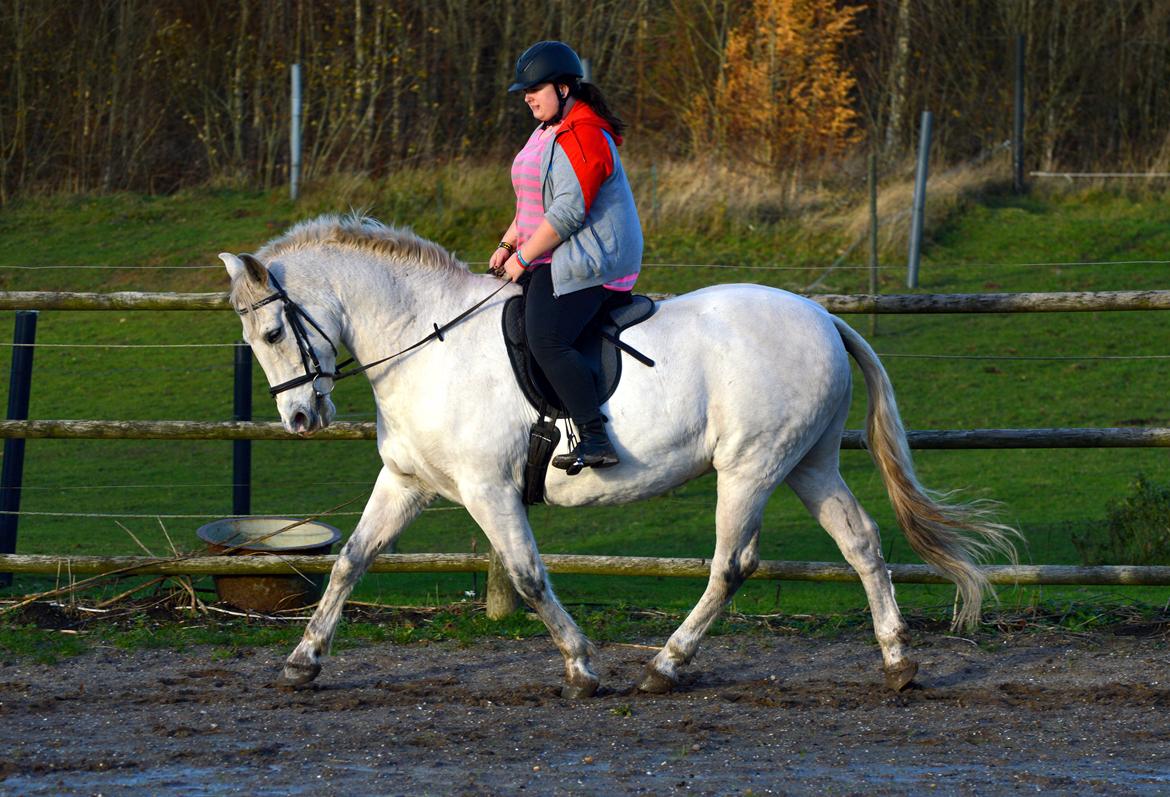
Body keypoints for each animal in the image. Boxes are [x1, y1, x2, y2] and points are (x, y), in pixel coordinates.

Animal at [221, 214, 1015, 692]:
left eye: (271, 334)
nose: (300, 417)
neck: (428, 339)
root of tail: (822, 316)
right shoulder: (407, 481)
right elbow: (352, 560)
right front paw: (302, 661)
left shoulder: (487, 489)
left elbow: (528, 575)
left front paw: (581, 665)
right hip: (808, 463)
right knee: (863, 544)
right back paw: (898, 659)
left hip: (751, 466)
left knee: (733, 564)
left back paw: (667, 663)